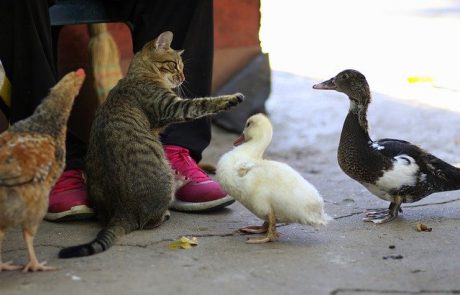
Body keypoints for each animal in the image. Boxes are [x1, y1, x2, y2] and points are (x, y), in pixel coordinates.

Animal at [59, 31, 243, 258]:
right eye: (174, 65)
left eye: (182, 67)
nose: (183, 78)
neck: (139, 73)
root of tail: (122, 210)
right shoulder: (172, 107)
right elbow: (202, 103)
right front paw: (232, 98)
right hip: (164, 178)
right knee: (149, 221)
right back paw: (166, 211)